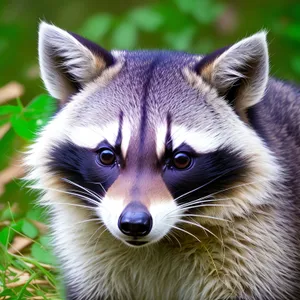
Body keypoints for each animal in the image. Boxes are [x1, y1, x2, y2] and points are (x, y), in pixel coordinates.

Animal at [25, 21, 300, 300]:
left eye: (180, 160)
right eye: (107, 156)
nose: (134, 224)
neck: (164, 238)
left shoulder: (258, 248)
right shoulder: (87, 256)